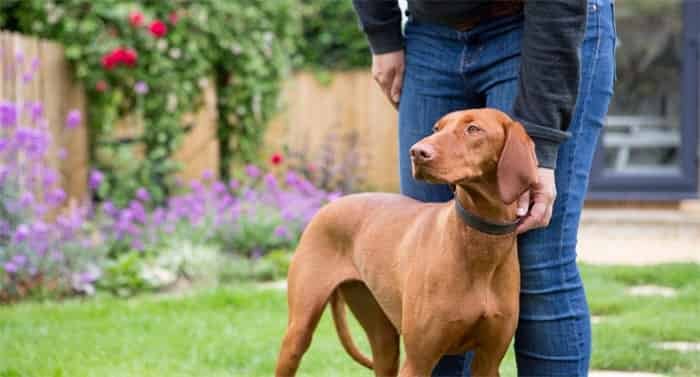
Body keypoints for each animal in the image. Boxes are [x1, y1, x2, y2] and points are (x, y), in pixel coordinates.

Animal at [274, 108, 536, 376]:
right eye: (436, 128)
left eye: (473, 129)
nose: (417, 152)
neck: (481, 245)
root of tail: (330, 204)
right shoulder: (418, 361)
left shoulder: (489, 361)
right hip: (298, 332)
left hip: (382, 338)